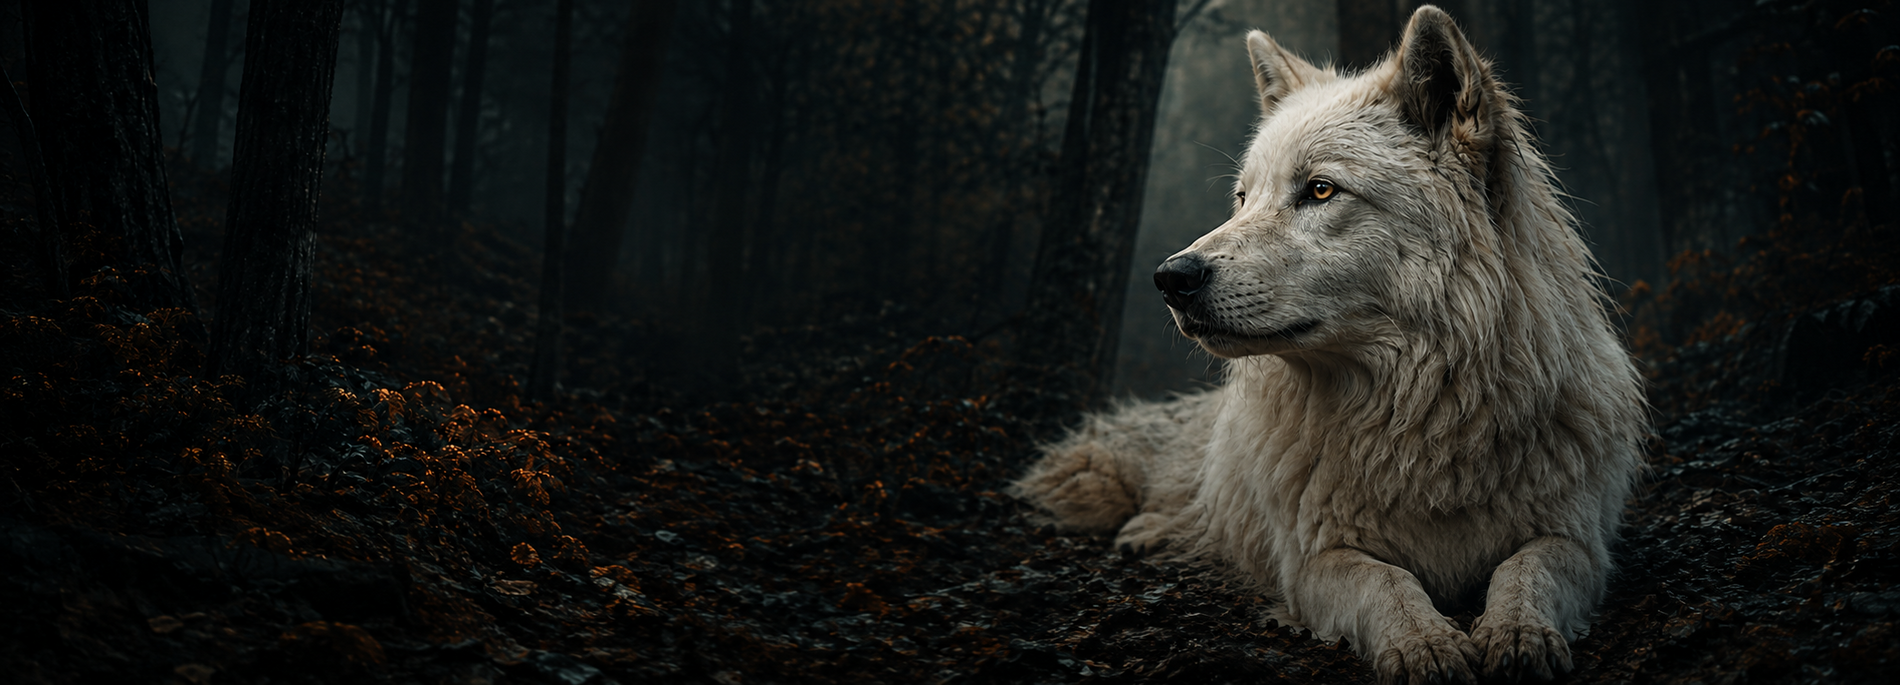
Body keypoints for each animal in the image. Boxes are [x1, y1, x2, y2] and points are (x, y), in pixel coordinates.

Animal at [1011, 6, 1646, 684]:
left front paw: (1518, 634)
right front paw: (1425, 646)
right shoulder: (1317, 560)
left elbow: (1527, 571)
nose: (1170, 278)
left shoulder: (1577, 540)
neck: (1419, 419)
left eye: (1319, 190)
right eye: (1243, 198)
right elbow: (1387, 583)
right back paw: (1153, 530)